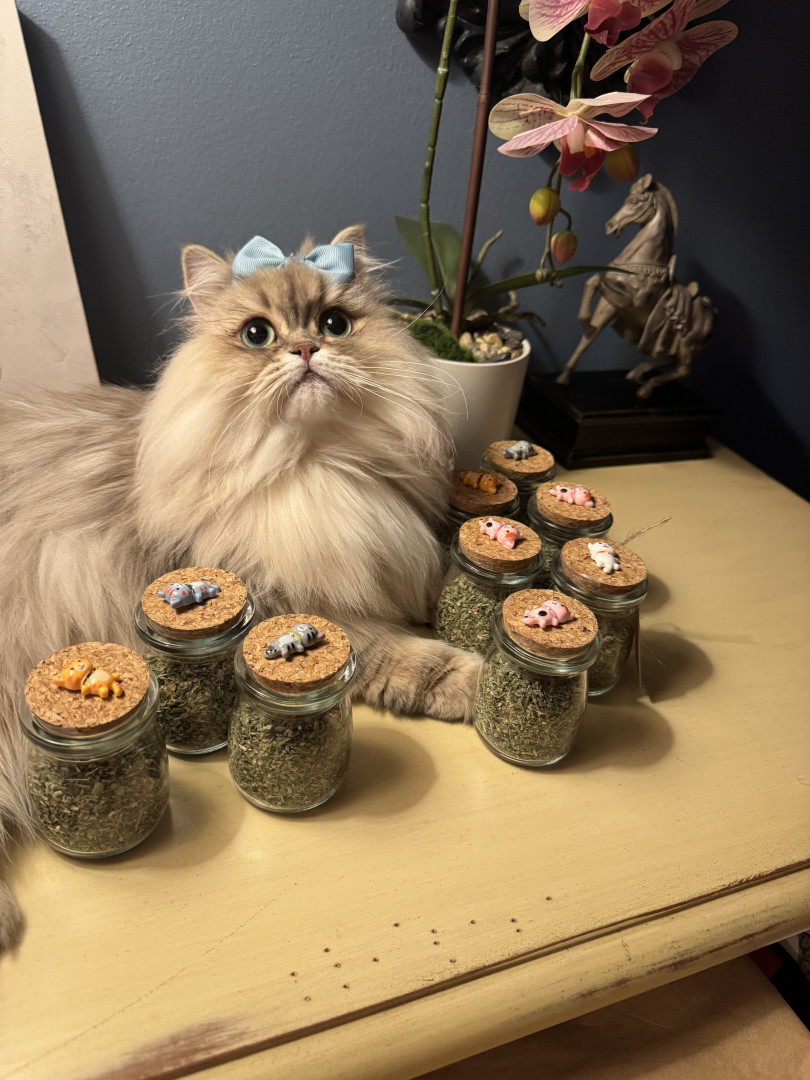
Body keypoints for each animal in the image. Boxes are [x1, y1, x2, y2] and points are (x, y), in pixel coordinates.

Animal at [0, 225, 483, 948]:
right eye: (258, 334)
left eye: (335, 324)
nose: (306, 349)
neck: (315, 470)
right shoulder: (287, 605)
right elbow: (406, 655)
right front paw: (476, 680)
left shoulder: (399, 552)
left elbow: (449, 580)